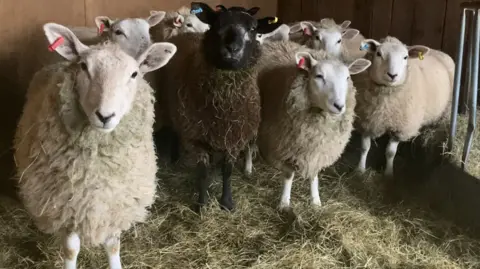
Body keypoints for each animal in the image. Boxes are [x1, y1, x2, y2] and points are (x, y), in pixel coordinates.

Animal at [14, 21, 177, 268]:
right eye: (83, 67)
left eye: (134, 74)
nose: (105, 115)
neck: (97, 169)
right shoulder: (68, 204)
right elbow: (71, 249)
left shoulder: (115, 203)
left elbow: (113, 245)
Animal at [163, 2, 264, 211]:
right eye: (217, 24)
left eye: (253, 28)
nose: (232, 49)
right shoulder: (197, 137)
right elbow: (202, 173)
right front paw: (201, 204)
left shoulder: (233, 137)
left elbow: (228, 171)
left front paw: (227, 202)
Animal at [255, 40, 372, 207]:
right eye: (319, 76)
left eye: (348, 78)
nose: (339, 106)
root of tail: (277, 42)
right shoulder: (289, 146)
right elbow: (288, 176)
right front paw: (284, 203)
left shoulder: (317, 149)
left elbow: (314, 175)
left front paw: (315, 201)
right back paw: (248, 169)